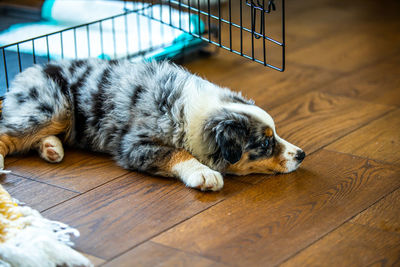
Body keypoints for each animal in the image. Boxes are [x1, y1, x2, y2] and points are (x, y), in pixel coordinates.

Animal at [0, 59, 304, 192]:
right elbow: (177, 153)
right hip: (51, 107)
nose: (301, 155)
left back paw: (52, 149)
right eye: (264, 143)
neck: (196, 113)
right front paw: (204, 174)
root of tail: (26, 73)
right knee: (9, 131)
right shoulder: (134, 145)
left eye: (275, 134)